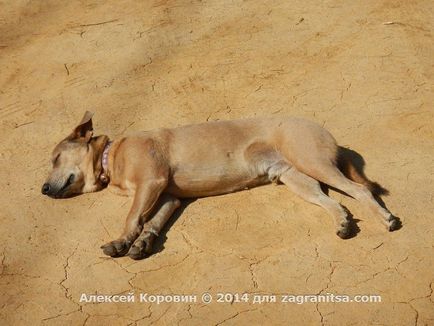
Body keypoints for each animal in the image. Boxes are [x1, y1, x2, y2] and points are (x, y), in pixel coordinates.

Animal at [41, 112, 400, 260]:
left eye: (55, 157)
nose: (43, 189)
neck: (110, 156)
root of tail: (324, 131)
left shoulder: (151, 183)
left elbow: (132, 218)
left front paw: (123, 239)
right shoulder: (168, 197)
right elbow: (152, 224)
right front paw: (138, 244)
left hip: (312, 162)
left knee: (360, 191)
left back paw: (387, 219)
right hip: (296, 179)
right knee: (334, 202)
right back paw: (343, 223)